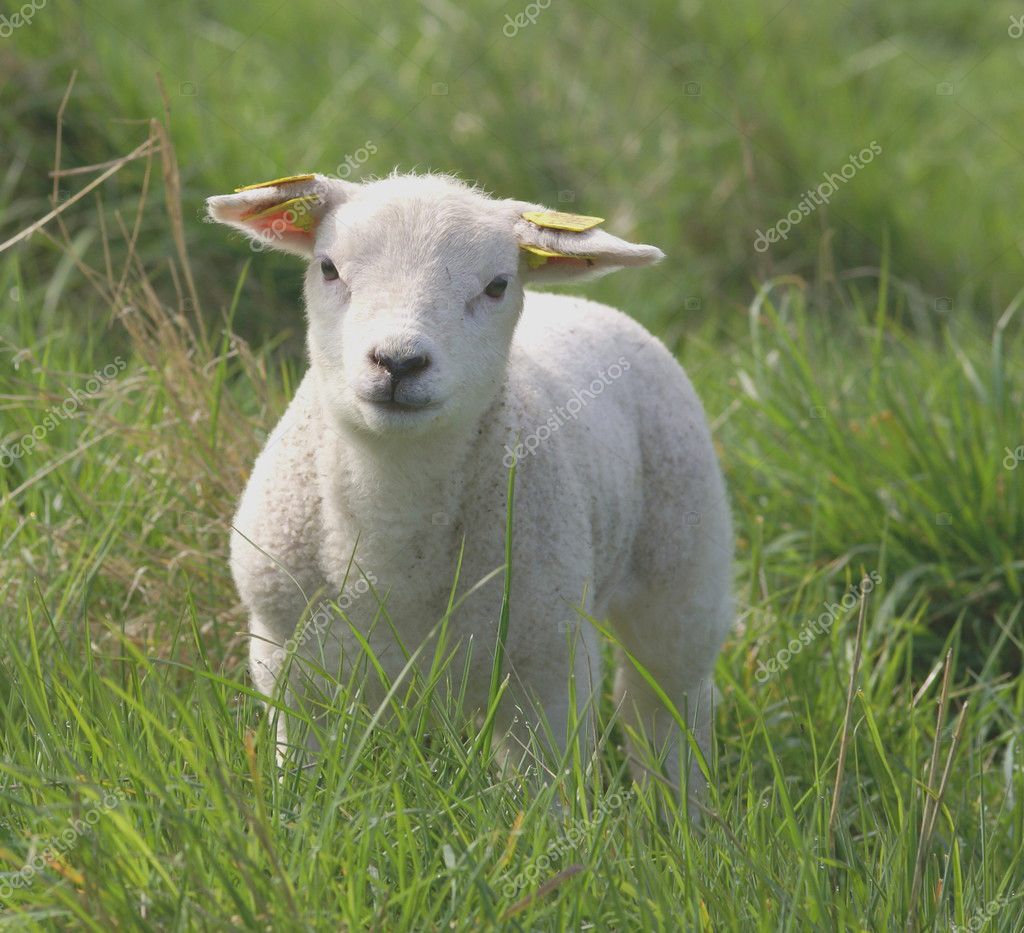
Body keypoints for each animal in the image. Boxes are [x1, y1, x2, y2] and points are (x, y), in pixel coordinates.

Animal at [206, 171, 733, 813]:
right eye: (328, 268)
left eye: (497, 284)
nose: (398, 362)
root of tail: (581, 303)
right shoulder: (287, 666)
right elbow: (304, 778)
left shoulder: (549, 670)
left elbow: (547, 799)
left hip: (683, 569)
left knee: (664, 707)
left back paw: (683, 817)